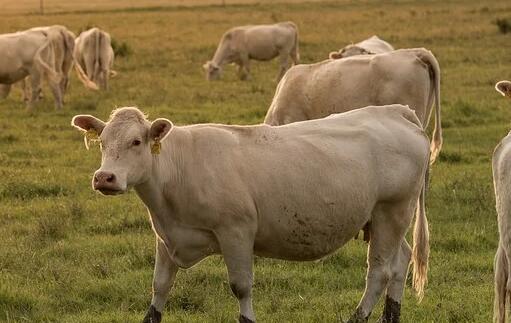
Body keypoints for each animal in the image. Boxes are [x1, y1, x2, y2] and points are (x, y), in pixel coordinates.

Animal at [72, 105, 432, 322]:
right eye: (102, 142)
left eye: (136, 142)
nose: (105, 177)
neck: (178, 169)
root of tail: (395, 111)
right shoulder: (166, 237)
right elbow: (159, 286)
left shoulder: (236, 232)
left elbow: (241, 287)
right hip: (384, 220)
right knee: (400, 261)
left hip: (391, 212)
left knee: (380, 271)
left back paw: (359, 316)